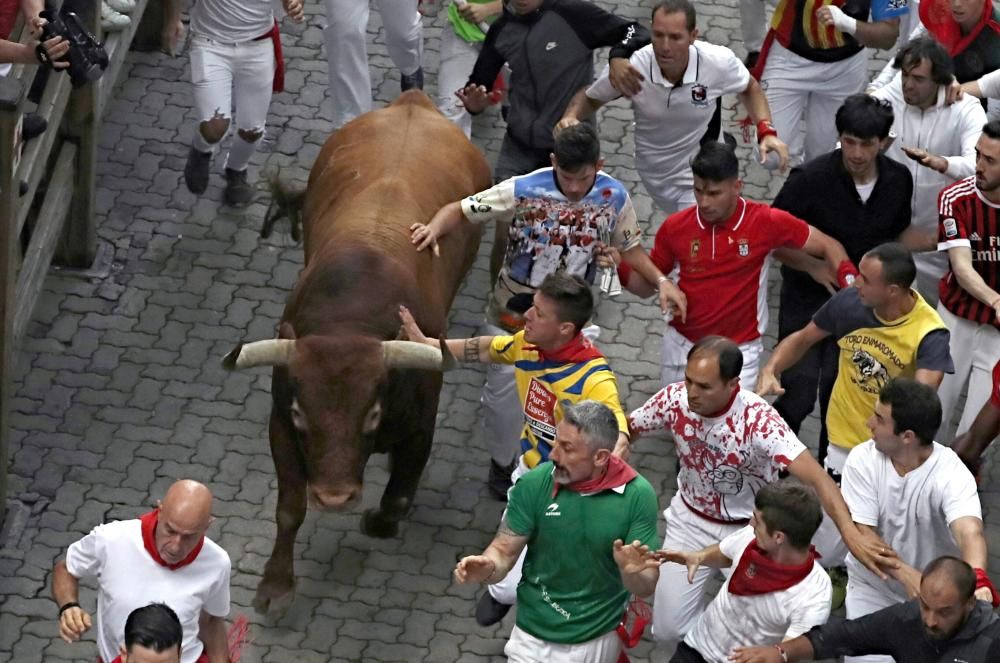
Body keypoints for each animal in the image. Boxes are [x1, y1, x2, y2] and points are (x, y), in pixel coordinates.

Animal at [226, 91, 492, 616]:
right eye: (301, 414)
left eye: (372, 414)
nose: (334, 497)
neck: (350, 316)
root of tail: (413, 102)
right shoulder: (279, 426)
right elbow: (289, 508)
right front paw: (275, 584)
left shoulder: (422, 426)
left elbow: (398, 498)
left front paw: (379, 521)